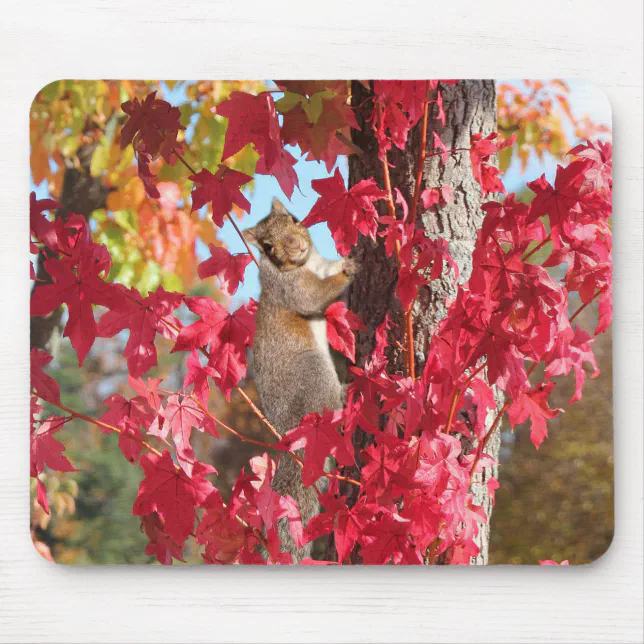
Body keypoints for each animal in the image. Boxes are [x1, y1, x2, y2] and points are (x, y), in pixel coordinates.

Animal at [243, 198, 357, 563]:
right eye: (267, 246)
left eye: (294, 218)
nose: (294, 243)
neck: (311, 264)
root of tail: (291, 432)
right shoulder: (292, 289)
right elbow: (314, 296)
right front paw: (349, 268)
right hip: (312, 372)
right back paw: (345, 393)